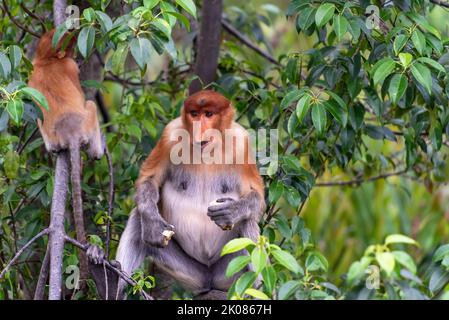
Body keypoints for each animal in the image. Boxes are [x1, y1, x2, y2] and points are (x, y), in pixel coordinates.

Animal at [90, 89, 266, 298]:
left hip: (229, 272)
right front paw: (152, 225)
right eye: (194, 114)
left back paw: (258, 289)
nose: (198, 127)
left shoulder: (242, 142)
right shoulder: (170, 134)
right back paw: (108, 283)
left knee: (248, 221)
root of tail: (209, 278)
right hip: (191, 273)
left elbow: (256, 195)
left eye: (209, 114)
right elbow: (149, 179)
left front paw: (230, 211)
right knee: (137, 219)